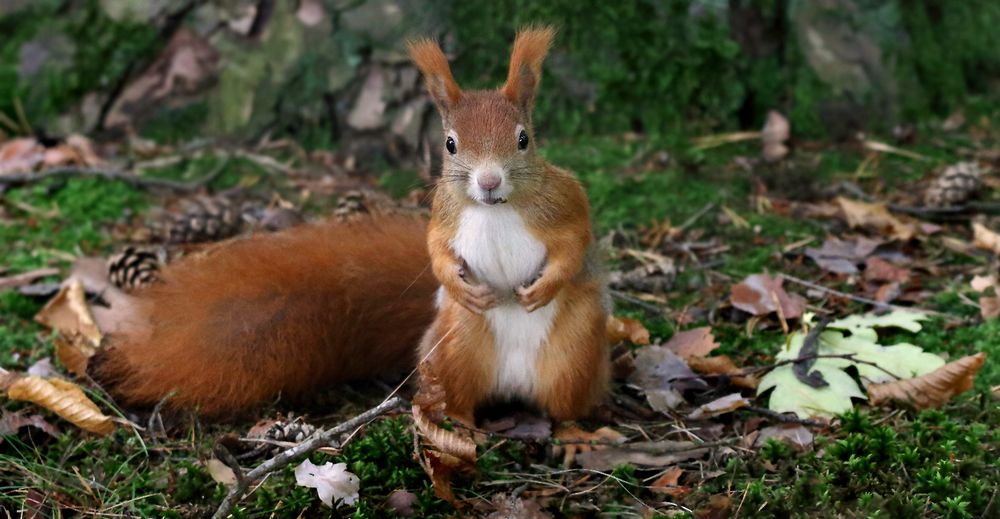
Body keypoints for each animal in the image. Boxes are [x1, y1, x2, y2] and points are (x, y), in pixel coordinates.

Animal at [94, 28, 608, 424]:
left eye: (524, 140)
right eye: (450, 144)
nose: (488, 181)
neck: (494, 209)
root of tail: (513, 386)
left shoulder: (566, 202)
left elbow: (576, 243)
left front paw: (545, 286)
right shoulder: (444, 218)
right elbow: (436, 251)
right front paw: (457, 282)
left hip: (576, 352)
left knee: (566, 407)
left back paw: (576, 437)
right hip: (455, 346)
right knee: (460, 396)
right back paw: (458, 426)